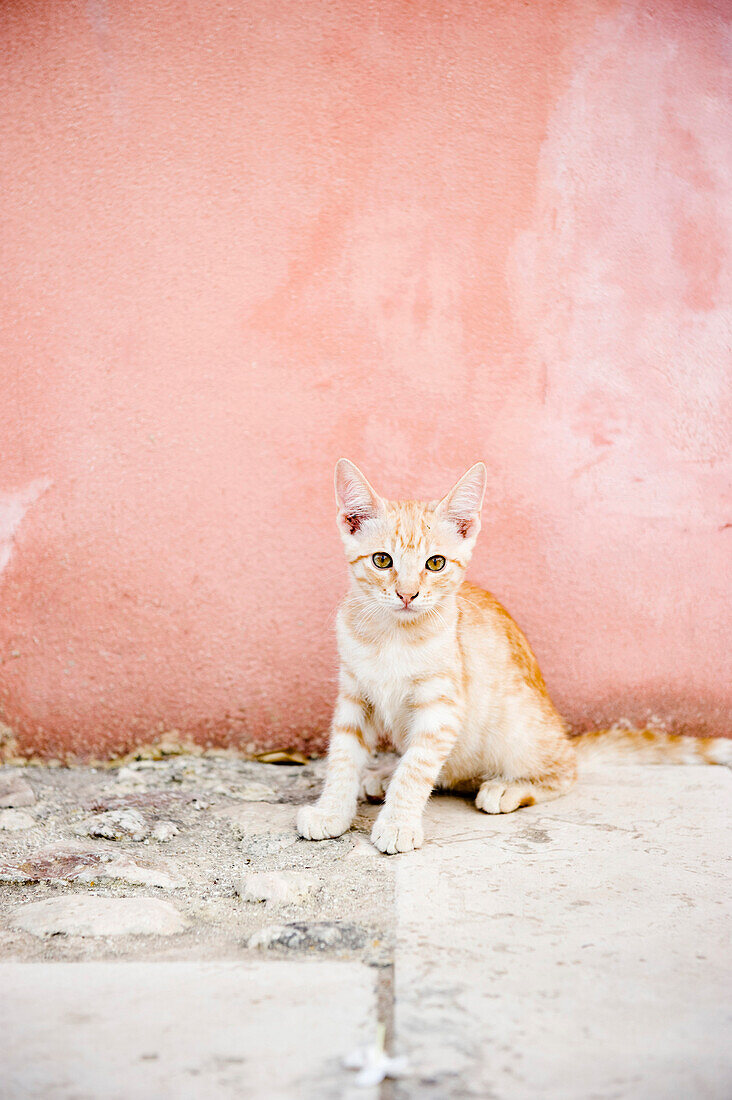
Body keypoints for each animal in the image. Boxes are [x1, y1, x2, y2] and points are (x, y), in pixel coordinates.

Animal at [295, 459, 726, 853]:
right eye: (382, 560)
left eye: (435, 563)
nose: (407, 594)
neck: (391, 635)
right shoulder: (354, 697)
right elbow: (343, 757)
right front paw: (332, 811)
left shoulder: (442, 708)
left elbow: (418, 768)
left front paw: (399, 821)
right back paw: (385, 774)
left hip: (517, 725)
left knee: (564, 771)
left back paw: (508, 788)